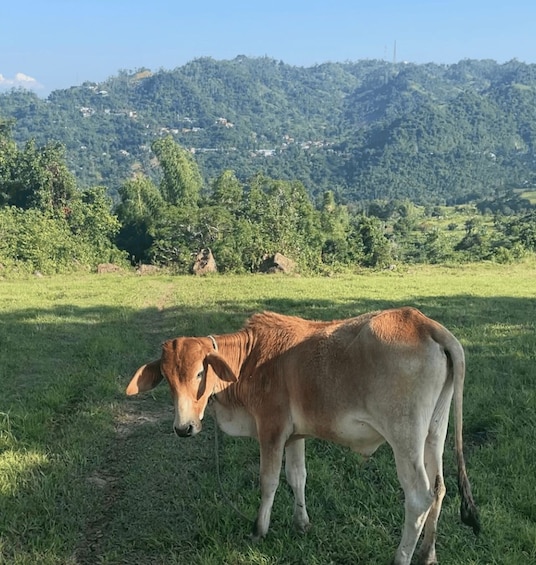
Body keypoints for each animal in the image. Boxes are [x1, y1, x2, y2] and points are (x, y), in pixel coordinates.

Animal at [126, 308, 482, 564]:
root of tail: (425, 323)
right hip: (434, 431)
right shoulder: (295, 436)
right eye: (168, 379)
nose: (183, 427)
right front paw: (301, 524)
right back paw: (427, 553)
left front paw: (259, 530)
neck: (249, 359)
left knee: (419, 496)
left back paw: (402, 557)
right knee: (439, 488)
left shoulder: (271, 428)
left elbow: (268, 481)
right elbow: (297, 476)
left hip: (405, 437)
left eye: (200, 372)